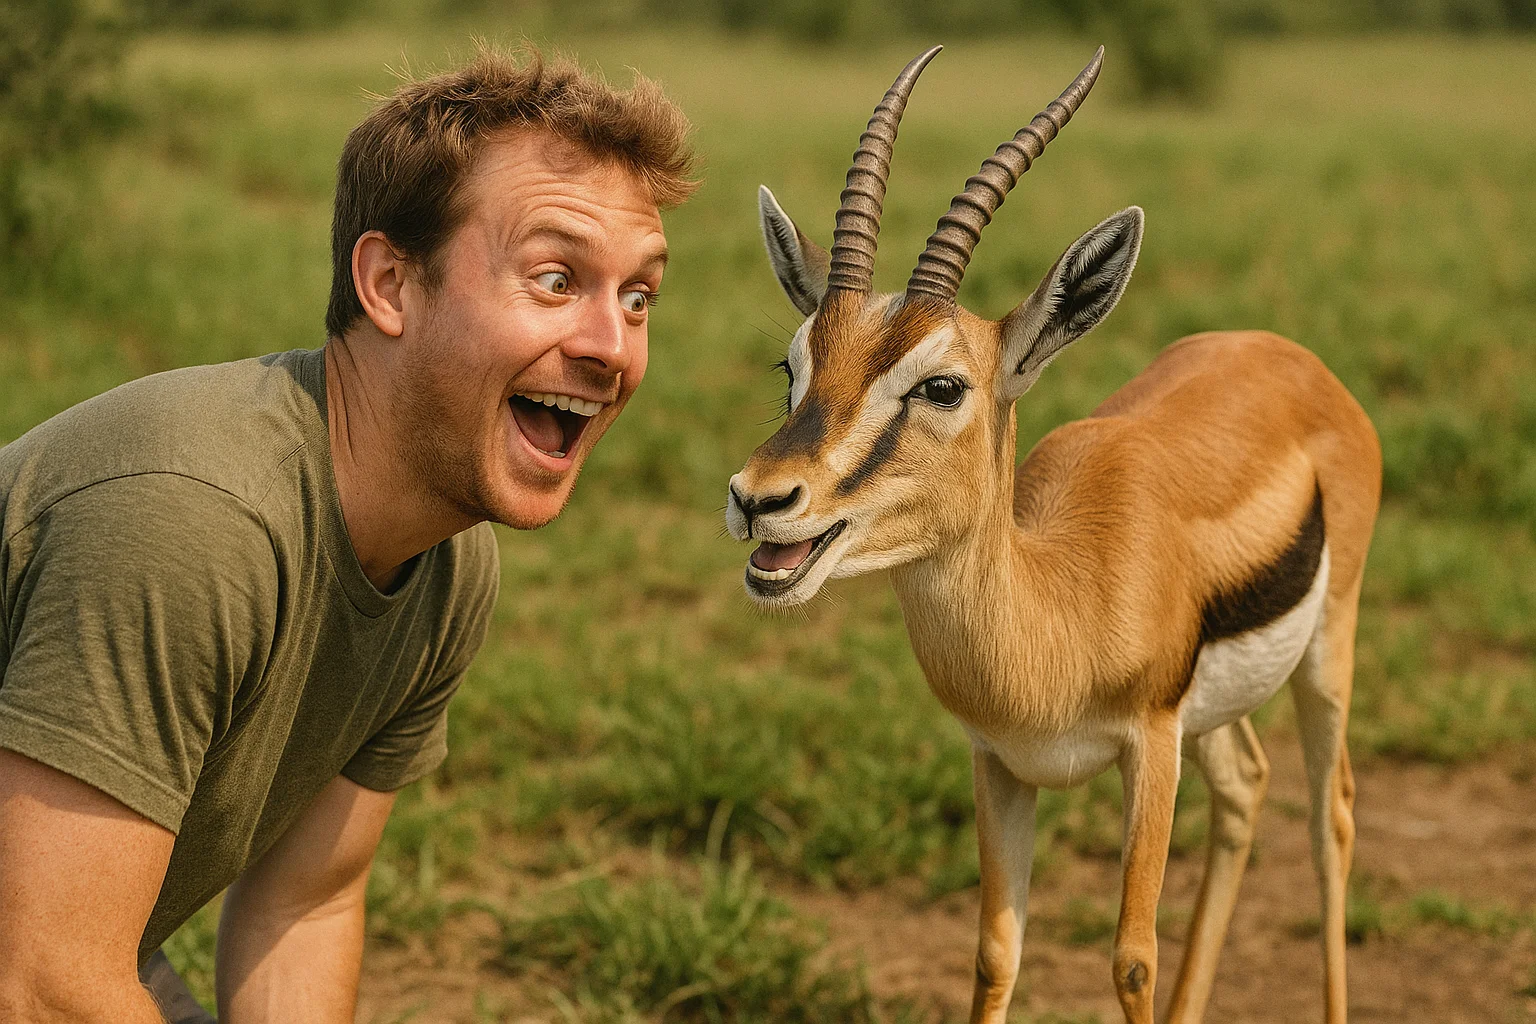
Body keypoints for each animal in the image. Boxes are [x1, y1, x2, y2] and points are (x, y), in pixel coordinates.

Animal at [725, 46, 1380, 1024]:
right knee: (1247, 787)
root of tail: (1285, 353)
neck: (1055, 613)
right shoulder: (999, 763)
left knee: (1331, 817)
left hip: (1327, 647)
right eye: (793, 366)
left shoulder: (1149, 749)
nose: (758, 497)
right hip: (1214, 716)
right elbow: (996, 951)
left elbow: (1132, 958)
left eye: (943, 386)